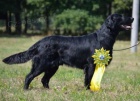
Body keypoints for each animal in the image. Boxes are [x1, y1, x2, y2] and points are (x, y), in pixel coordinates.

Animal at [2, 13, 133, 90]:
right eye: (120, 16)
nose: (133, 18)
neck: (103, 37)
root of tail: (40, 42)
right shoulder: (90, 65)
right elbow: (88, 79)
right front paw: (88, 91)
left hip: (52, 66)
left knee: (44, 80)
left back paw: (49, 91)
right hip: (42, 64)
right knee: (29, 76)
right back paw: (26, 89)